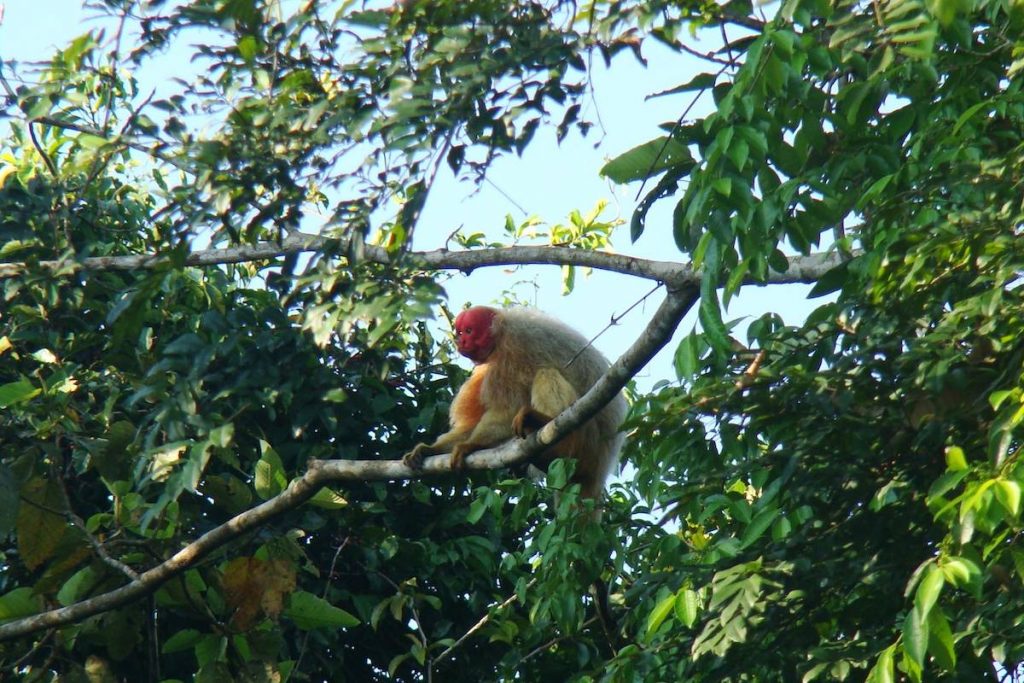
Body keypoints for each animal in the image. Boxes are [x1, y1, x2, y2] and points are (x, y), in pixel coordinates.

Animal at [402, 305, 627, 501]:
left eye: (469, 330)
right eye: (459, 331)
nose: (461, 341)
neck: (499, 333)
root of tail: (600, 469)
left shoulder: (513, 347)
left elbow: (507, 412)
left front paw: (470, 445)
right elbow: (470, 425)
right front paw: (429, 449)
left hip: (588, 441)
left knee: (546, 373)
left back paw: (545, 424)